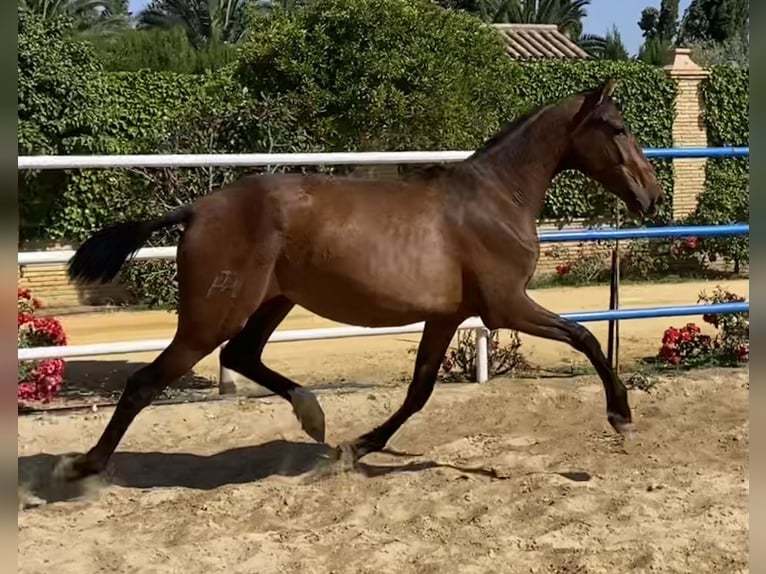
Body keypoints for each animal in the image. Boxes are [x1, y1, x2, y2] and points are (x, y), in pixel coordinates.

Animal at [57, 79, 664, 484]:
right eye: (618, 128)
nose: (652, 195)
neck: (495, 198)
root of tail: (196, 209)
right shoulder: (505, 306)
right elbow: (586, 336)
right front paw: (621, 417)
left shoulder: (447, 315)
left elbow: (419, 390)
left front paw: (358, 447)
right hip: (212, 316)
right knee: (147, 380)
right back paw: (83, 467)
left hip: (272, 302)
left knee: (242, 356)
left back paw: (315, 419)